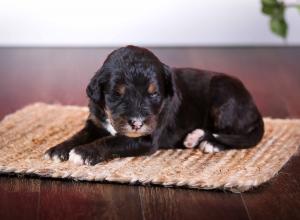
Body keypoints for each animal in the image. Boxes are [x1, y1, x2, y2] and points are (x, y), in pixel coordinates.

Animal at [43, 45, 264, 165]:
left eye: (154, 93)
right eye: (116, 94)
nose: (137, 123)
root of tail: (254, 106)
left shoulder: (146, 138)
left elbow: (113, 141)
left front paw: (84, 152)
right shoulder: (96, 122)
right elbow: (80, 134)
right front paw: (58, 149)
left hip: (223, 96)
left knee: (237, 135)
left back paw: (210, 143)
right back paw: (194, 137)